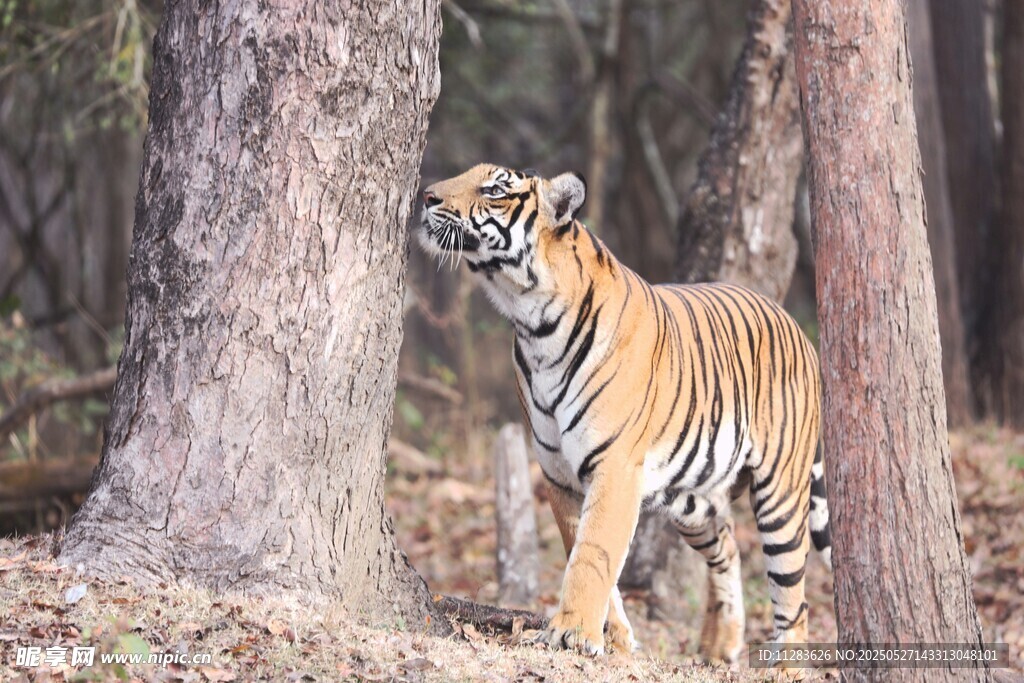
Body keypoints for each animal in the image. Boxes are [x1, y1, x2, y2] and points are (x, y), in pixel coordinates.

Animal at [416, 164, 832, 662]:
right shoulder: (558, 472)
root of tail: (795, 326)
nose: (425, 196)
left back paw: (785, 663)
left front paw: (572, 633)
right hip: (691, 501)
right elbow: (581, 546)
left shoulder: (613, 466)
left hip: (781, 494)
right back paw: (722, 645)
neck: (532, 323)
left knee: (794, 597)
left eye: (495, 189)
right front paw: (612, 636)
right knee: (729, 544)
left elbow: (594, 551)